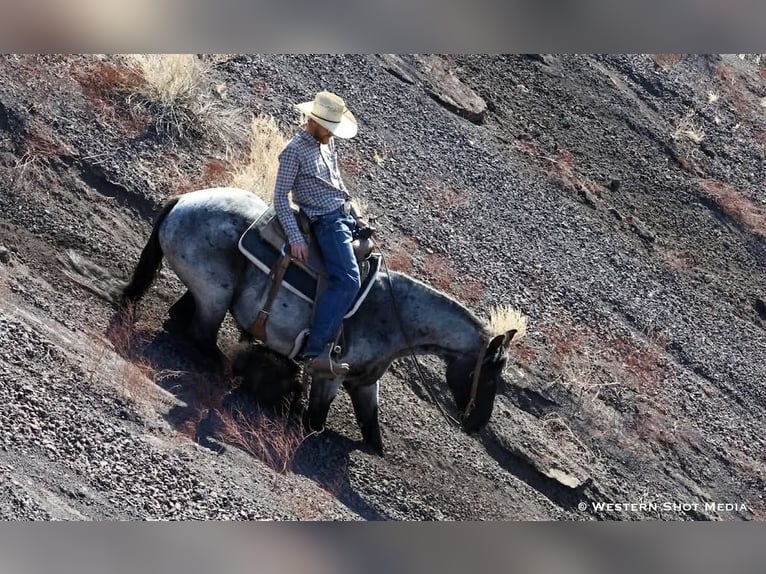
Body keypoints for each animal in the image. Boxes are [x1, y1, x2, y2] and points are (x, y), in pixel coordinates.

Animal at [121, 187, 526, 454]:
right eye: (490, 374)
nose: (477, 423)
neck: (396, 316)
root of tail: (183, 200)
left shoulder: (364, 384)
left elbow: (372, 433)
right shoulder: (329, 375)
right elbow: (315, 422)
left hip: (209, 294)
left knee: (180, 321)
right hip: (214, 296)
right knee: (201, 339)